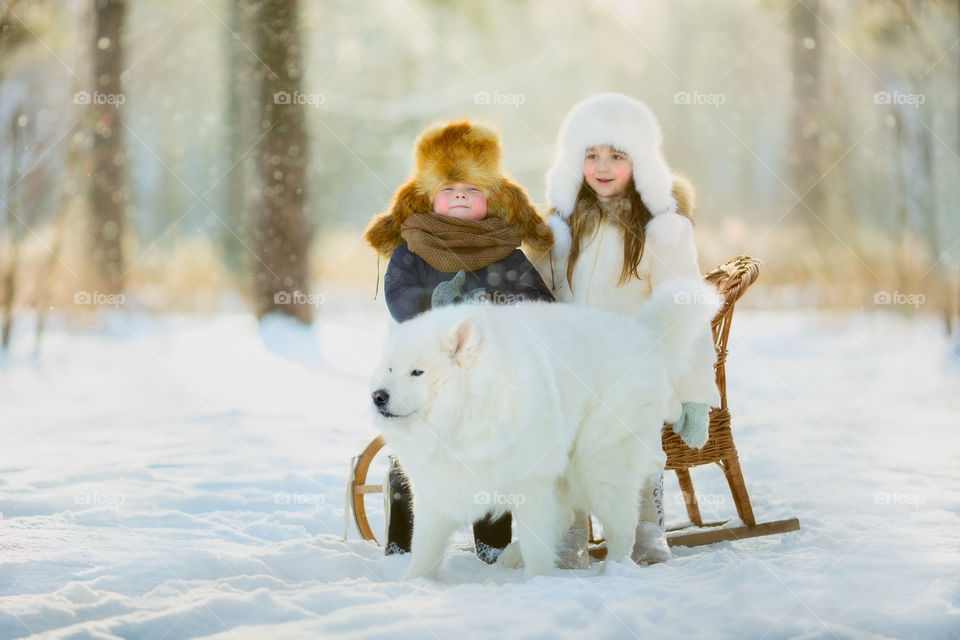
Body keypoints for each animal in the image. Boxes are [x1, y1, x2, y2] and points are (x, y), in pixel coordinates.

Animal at [372, 278, 716, 576]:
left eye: (417, 372)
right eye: (388, 369)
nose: (378, 396)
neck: (468, 411)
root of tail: (645, 335)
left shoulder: (532, 483)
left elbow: (537, 544)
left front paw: (538, 582)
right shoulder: (436, 489)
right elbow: (424, 548)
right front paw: (415, 584)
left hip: (599, 464)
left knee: (621, 523)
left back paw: (614, 570)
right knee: (567, 516)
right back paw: (513, 556)